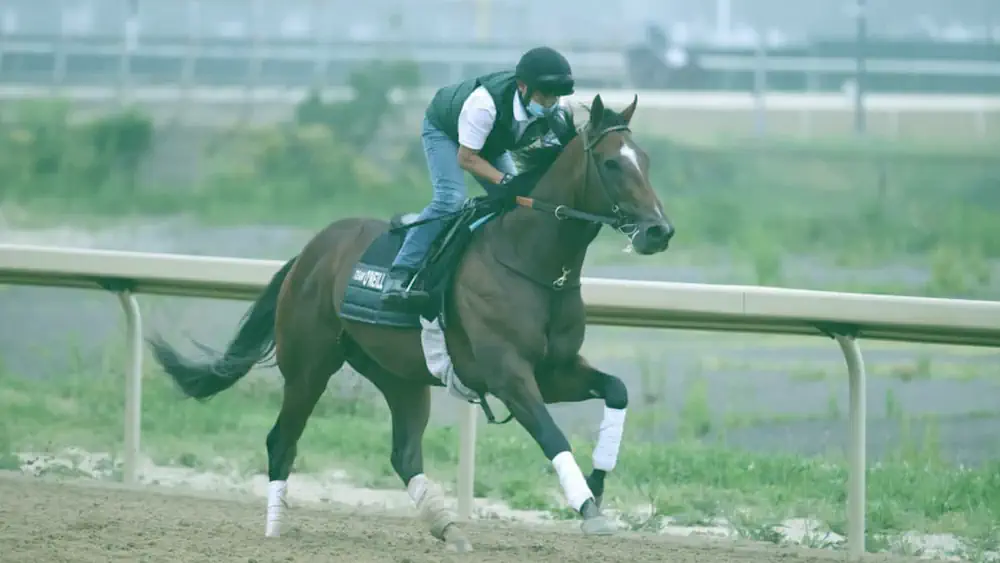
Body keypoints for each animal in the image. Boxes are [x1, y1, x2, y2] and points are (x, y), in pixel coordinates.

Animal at [150, 93, 674, 553]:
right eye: (611, 163)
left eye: (646, 160)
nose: (659, 231)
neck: (530, 262)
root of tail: (309, 253)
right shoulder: (509, 374)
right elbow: (552, 434)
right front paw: (588, 509)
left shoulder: (554, 370)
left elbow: (617, 391)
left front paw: (597, 483)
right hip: (308, 367)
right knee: (282, 440)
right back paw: (275, 529)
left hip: (400, 376)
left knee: (403, 453)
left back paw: (449, 529)